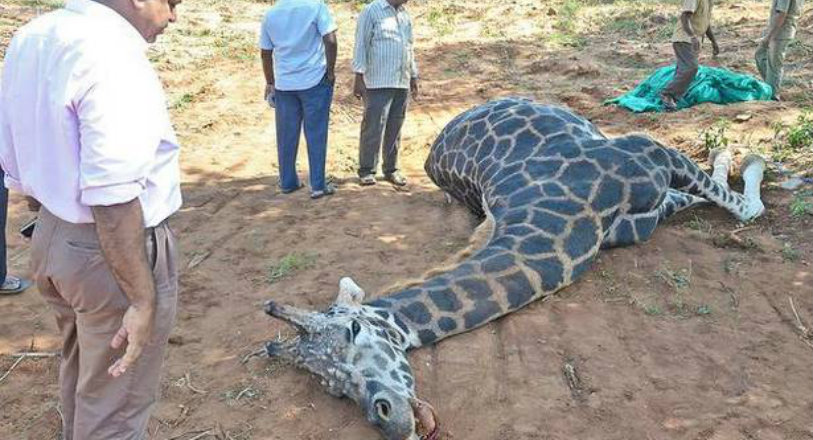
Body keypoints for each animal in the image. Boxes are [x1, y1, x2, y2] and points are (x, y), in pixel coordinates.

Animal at [263, 98, 766, 440]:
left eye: (354, 331)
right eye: (331, 388)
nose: (389, 419)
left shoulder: (649, 153)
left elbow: (744, 207)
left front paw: (747, 158)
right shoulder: (642, 216)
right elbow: (712, 200)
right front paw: (734, 161)